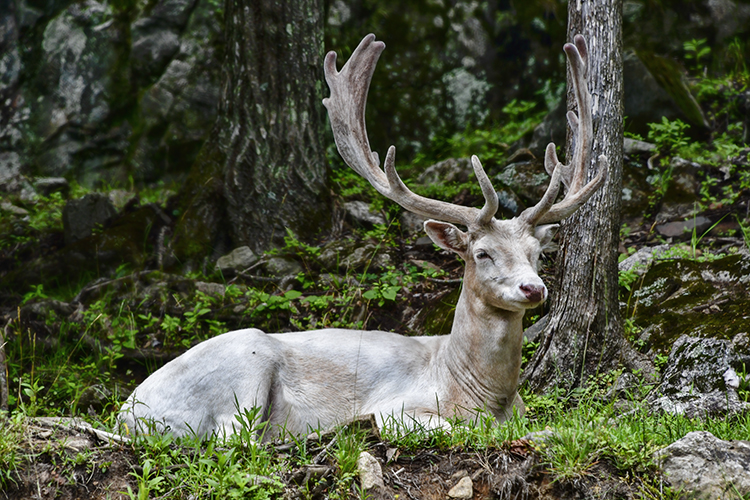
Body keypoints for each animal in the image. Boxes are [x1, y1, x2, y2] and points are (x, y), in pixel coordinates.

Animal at [119, 34, 612, 442]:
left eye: (537, 253)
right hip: (244, 368)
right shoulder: (399, 407)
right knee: (231, 441)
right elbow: (461, 430)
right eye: (482, 253)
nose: (534, 288)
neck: (477, 392)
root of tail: (127, 413)